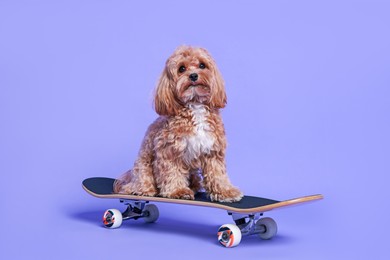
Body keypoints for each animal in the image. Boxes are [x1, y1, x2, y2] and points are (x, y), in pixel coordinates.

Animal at [112, 45, 242, 202]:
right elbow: (172, 172)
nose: (193, 76)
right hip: (143, 166)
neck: (195, 104)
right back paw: (145, 190)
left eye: (202, 65)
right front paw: (178, 191)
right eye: (181, 68)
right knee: (141, 181)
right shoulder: (169, 151)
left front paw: (225, 192)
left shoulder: (213, 150)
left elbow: (217, 173)